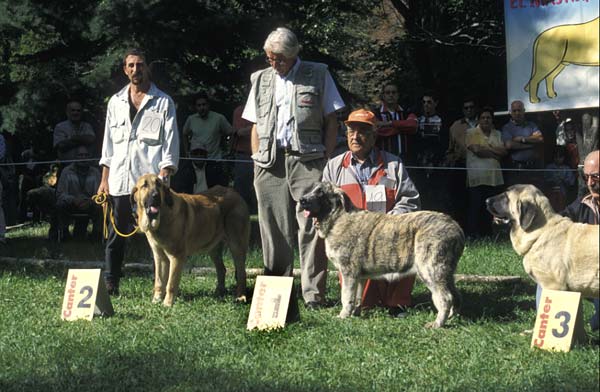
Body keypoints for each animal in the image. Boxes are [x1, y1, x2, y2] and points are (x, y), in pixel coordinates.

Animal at [132, 175, 250, 306]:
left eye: (159, 185)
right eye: (145, 185)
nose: (155, 195)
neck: (162, 218)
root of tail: (235, 193)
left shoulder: (176, 256)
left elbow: (170, 284)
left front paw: (167, 304)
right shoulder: (159, 257)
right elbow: (159, 281)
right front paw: (156, 300)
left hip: (236, 245)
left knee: (241, 273)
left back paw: (240, 297)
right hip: (213, 248)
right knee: (221, 269)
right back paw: (218, 292)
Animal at [300, 181, 464, 328]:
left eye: (320, 192)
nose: (302, 200)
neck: (337, 218)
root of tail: (456, 229)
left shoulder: (348, 272)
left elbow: (346, 297)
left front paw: (343, 316)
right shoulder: (359, 276)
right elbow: (357, 297)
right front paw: (355, 314)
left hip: (430, 269)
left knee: (445, 298)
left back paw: (437, 324)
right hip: (446, 272)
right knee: (455, 294)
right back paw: (451, 317)